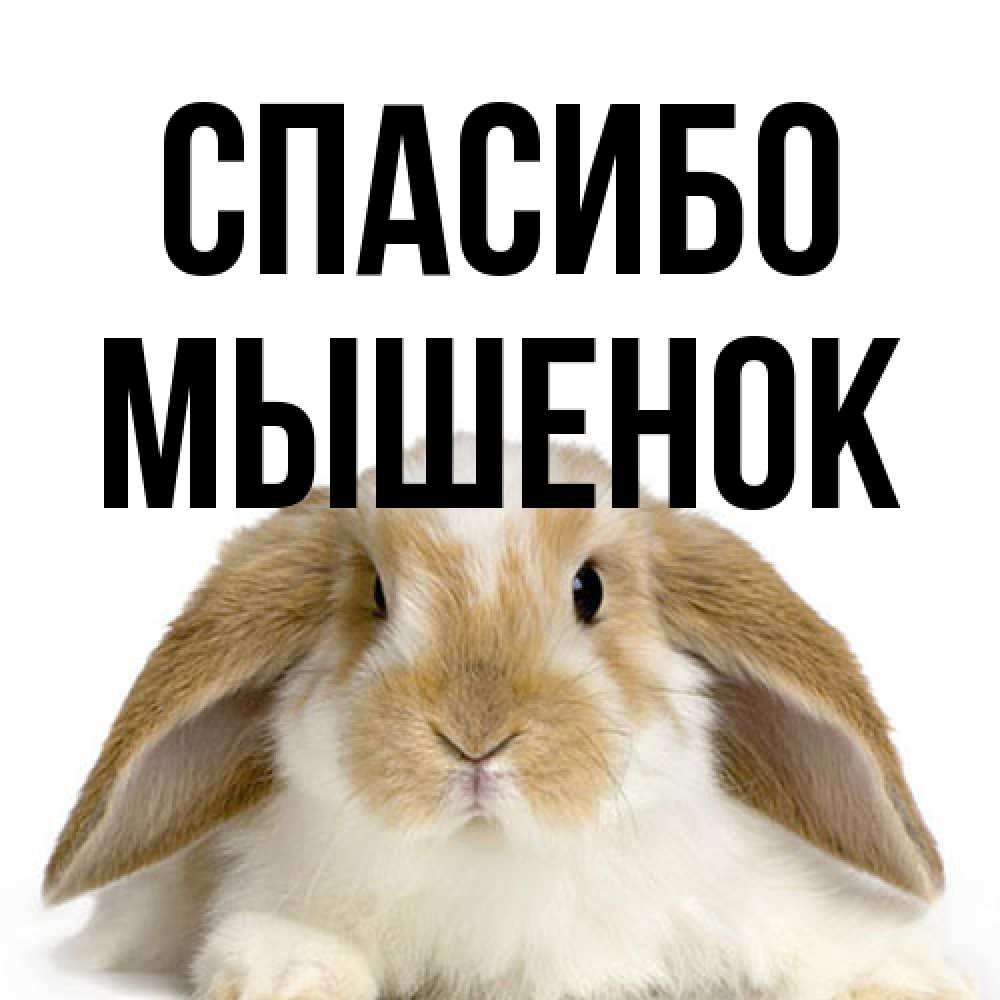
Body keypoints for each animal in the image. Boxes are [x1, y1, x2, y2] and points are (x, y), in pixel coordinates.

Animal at [46, 436, 975, 1000]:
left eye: (589, 589)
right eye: (376, 596)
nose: (475, 737)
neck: (495, 857)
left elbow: (817, 939)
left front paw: (909, 978)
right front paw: (291, 977)